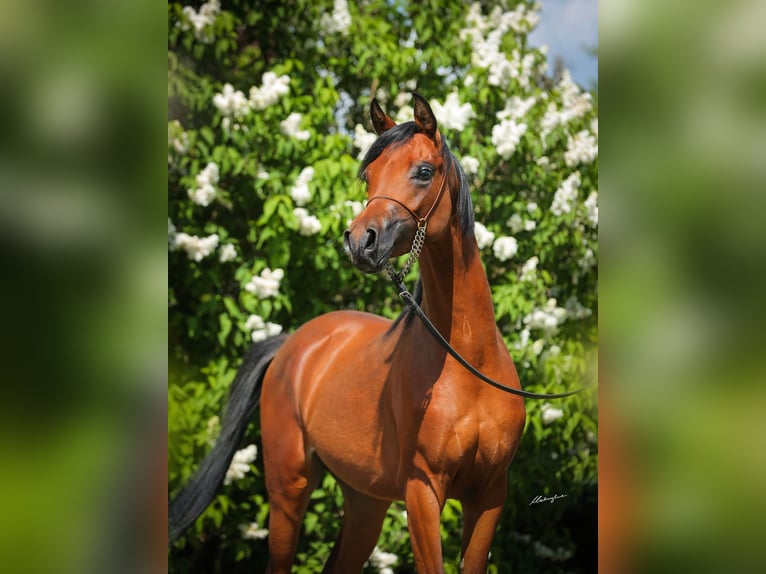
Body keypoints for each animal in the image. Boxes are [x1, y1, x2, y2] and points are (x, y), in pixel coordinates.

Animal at [169, 93, 527, 573]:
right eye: (369, 175)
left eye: (424, 171)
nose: (361, 241)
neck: (469, 365)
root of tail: (293, 345)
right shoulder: (423, 491)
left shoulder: (489, 496)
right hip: (289, 490)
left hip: (365, 500)